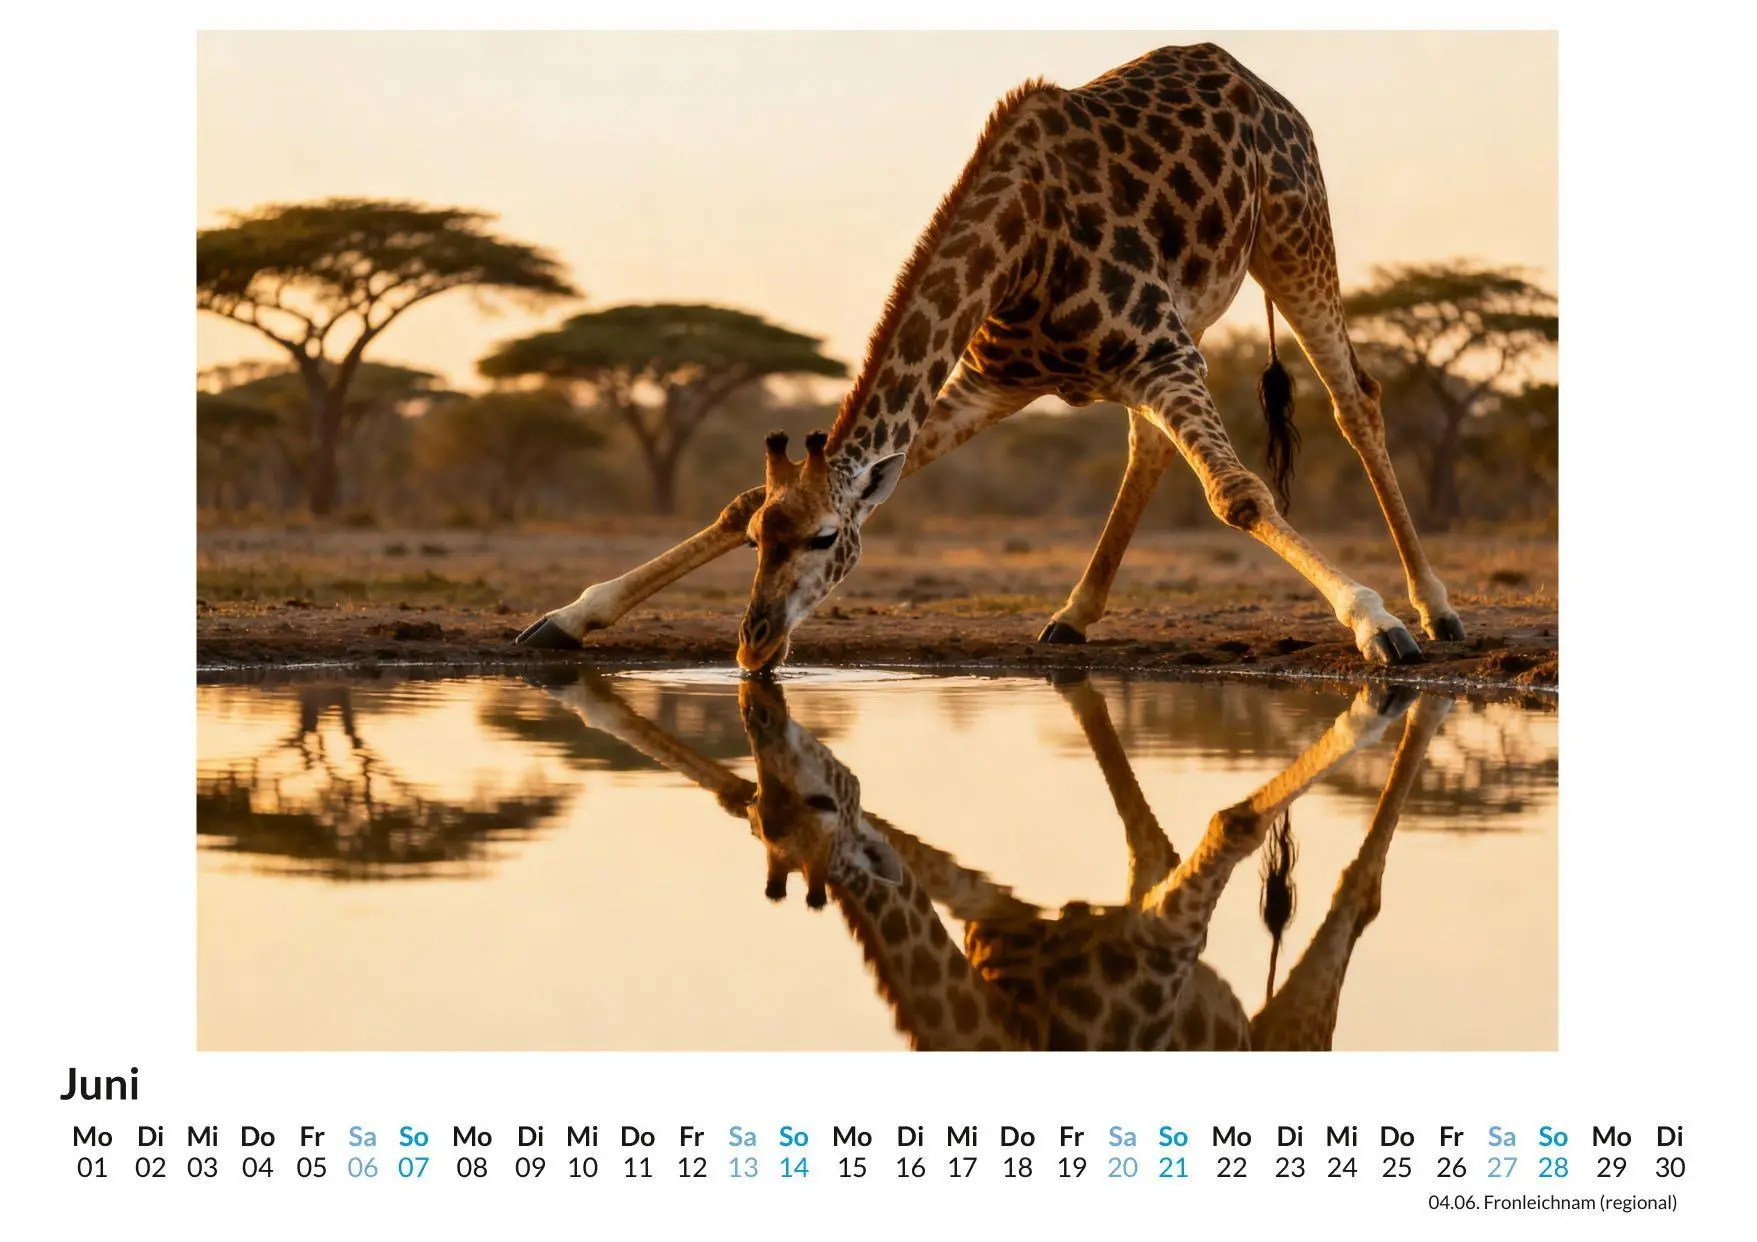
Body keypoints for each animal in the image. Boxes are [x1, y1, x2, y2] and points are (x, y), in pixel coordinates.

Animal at [515, 43, 1463, 670]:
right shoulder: (990, 382)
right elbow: (745, 490)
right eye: (759, 541)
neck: (1017, 248)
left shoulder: (1160, 352)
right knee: (1150, 445)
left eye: (825, 539)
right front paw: (565, 617)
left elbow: (1238, 496)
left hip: (1293, 239)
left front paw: (1373, 622)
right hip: (1171, 337)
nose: (753, 650)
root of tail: (1262, 87)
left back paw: (1434, 608)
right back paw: (1073, 615)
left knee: (1355, 399)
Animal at [541, 670, 1448, 1050]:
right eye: (761, 813)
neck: (1024, 1026)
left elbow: (1228, 823)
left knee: (1348, 910)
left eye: (820, 806)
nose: (759, 719)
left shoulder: (1168, 940)